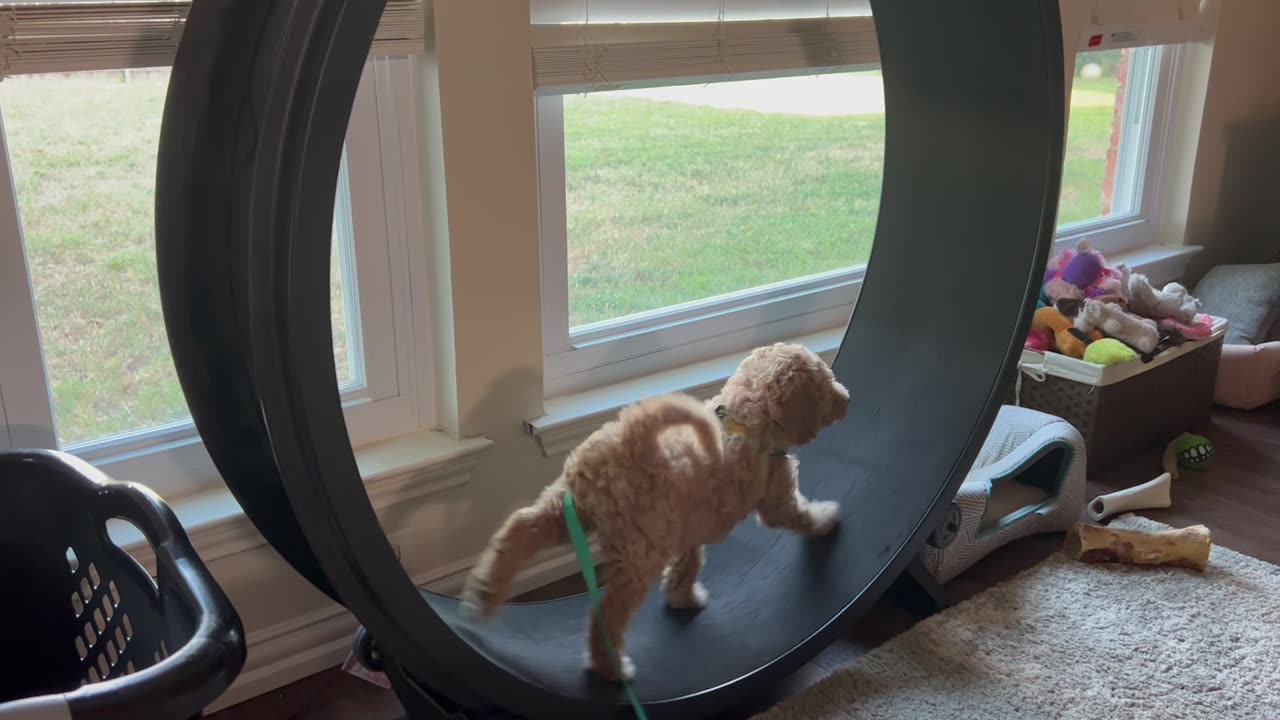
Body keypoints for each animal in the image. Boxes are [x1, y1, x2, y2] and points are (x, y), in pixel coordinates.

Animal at [463, 340, 849, 676]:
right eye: (825, 384)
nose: (846, 397)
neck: (748, 413)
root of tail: (631, 440)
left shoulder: (688, 522)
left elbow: (689, 562)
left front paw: (681, 596)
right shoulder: (777, 499)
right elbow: (801, 514)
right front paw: (827, 518)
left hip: (565, 507)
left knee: (522, 526)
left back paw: (485, 591)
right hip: (637, 554)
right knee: (607, 612)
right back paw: (610, 668)